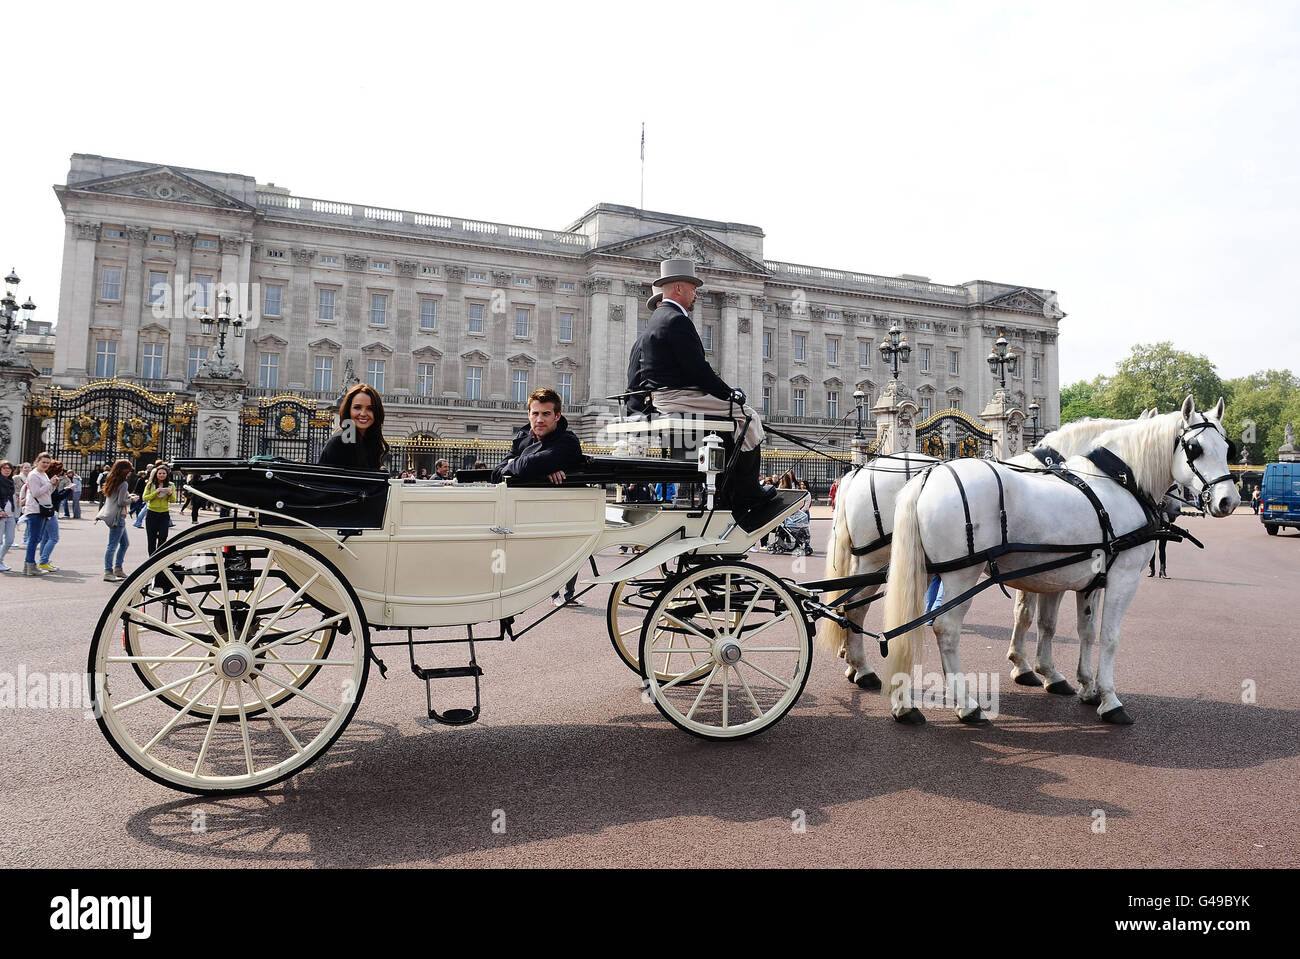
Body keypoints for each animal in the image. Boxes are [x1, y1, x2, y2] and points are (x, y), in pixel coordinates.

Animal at [883, 392, 1237, 722]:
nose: (1228, 501)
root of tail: (929, 476)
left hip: (927, 572)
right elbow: (1107, 636)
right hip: (961, 576)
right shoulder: (1121, 578)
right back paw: (966, 705)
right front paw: (1109, 699)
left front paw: (1084, 686)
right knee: (945, 629)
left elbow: (1079, 629)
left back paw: (904, 704)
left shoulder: (1080, 580)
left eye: (1226, 446)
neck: (1120, 483)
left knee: (907, 625)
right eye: (1195, 449)